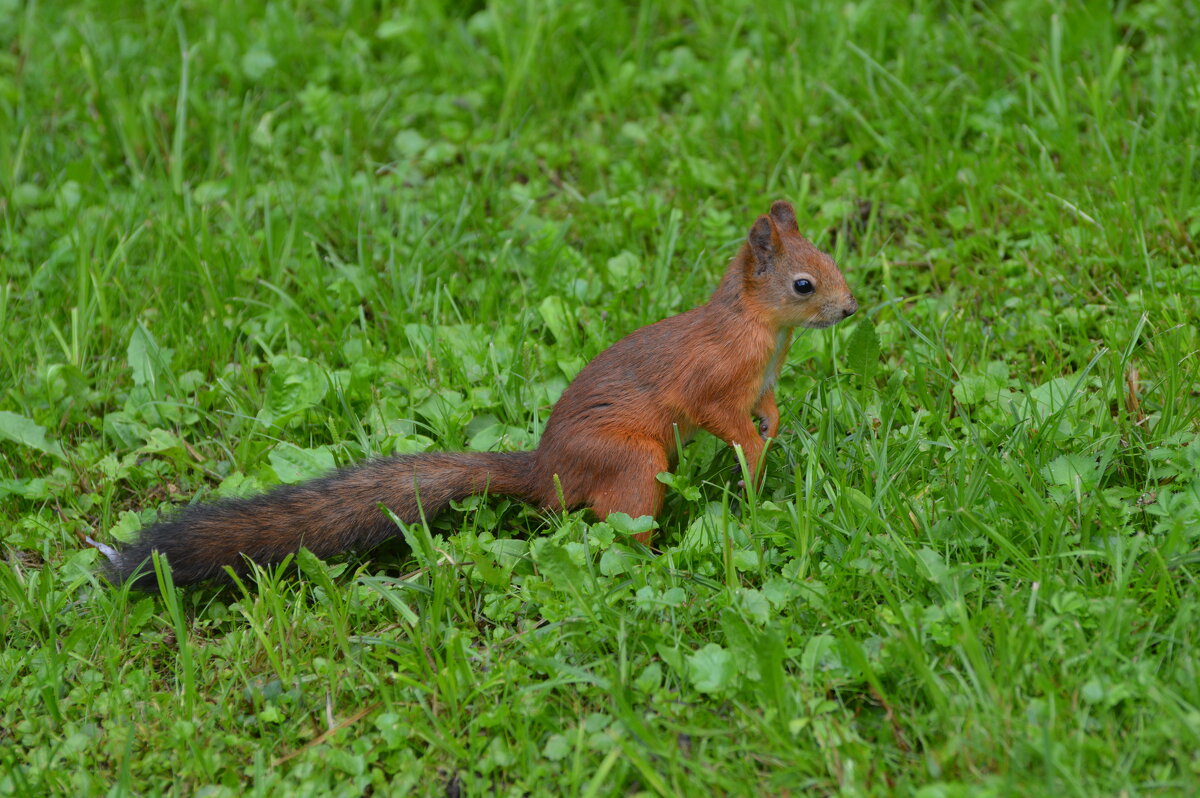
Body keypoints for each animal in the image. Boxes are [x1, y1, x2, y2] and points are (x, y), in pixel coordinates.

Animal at [103, 199, 854, 585]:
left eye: (830, 261)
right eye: (803, 285)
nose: (850, 308)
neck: (760, 332)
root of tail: (548, 473)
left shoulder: (761, 381)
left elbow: (765, 406)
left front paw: (773, 427)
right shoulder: (709, 383)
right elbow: (721, 417)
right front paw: (754, 454)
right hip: (637, 464)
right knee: (621, 524)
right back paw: (656, 561)